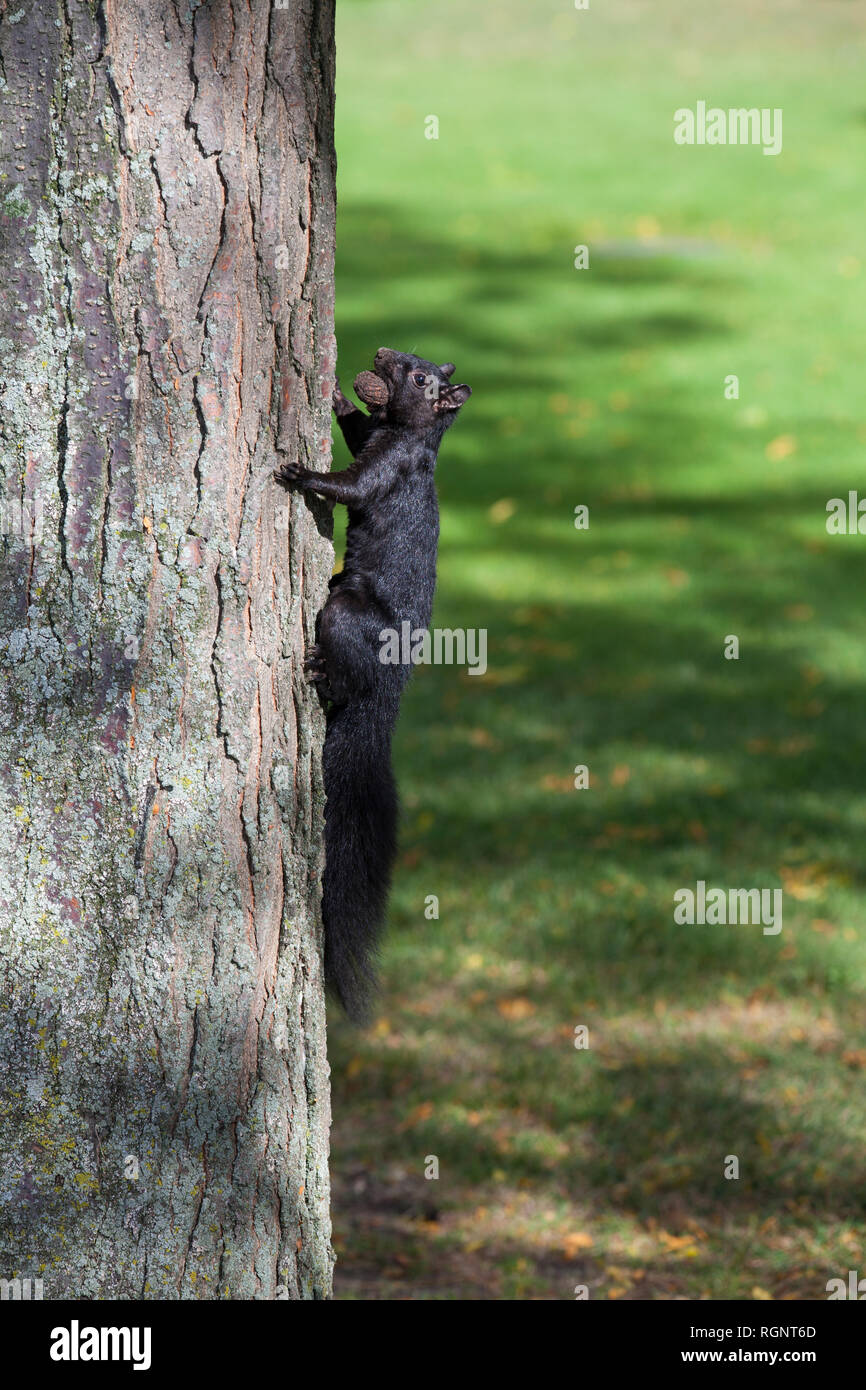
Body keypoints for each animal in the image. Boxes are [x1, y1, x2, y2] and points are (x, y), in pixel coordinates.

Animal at [273, 350, 469, 1023]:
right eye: (412, 358)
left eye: (421, 379)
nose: (383, 356)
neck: (413, 437)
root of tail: (388, 698)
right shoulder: (374, 441)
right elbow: (355, 429)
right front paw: (335, 393)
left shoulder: (389, 468)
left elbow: (348, 487)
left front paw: (300, 471)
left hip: (344, 617)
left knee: (342, 663)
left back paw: (320, 670)